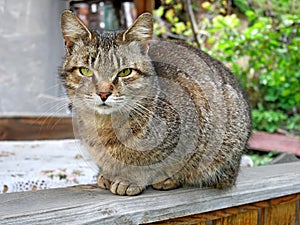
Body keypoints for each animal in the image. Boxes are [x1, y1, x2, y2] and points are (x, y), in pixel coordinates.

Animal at [59, 10, 251, 195]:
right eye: (85, 71)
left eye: (125, 72)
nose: (104, 93)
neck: (104, 127)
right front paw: (107, 173)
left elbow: (152, 163)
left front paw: (130, 179)